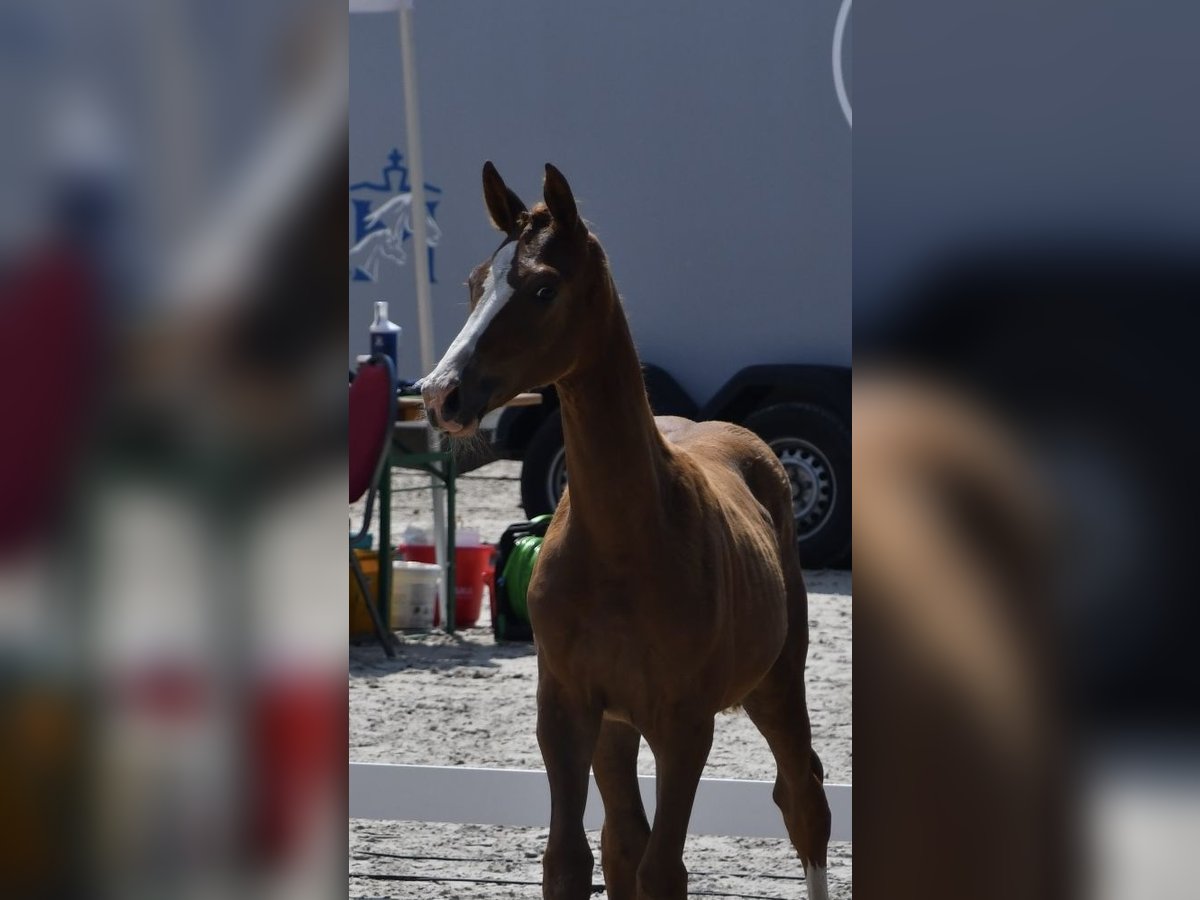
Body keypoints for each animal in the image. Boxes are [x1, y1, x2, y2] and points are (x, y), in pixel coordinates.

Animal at [420, 164, 825, 900]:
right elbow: (571, 861)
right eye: (474, 283)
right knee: (621, 842)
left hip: (778, 679)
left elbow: (664, 870)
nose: (440, 394)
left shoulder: (684, 725)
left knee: (802, 797)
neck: (621, 543)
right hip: (617, 730)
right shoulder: (566, 711)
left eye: (543, 288)